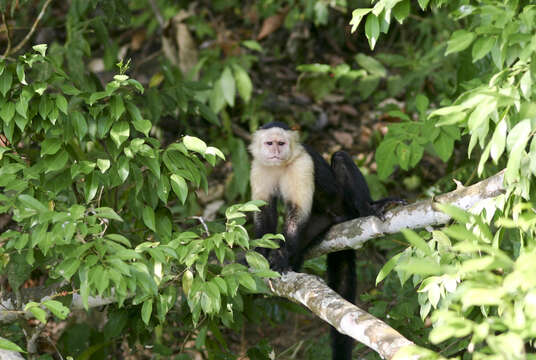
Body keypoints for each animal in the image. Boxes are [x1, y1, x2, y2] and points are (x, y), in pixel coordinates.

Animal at [249, 121, 404, 360]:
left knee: (340, 158)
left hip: (344, 205)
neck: (280, 165)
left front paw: (281, 257)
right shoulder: (259, 167)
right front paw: (260, 253)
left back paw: (368, 207)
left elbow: (297, 212)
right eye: (269, 143)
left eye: (281, 143)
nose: (275, 151)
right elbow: (264, 213)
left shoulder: (302, 164)